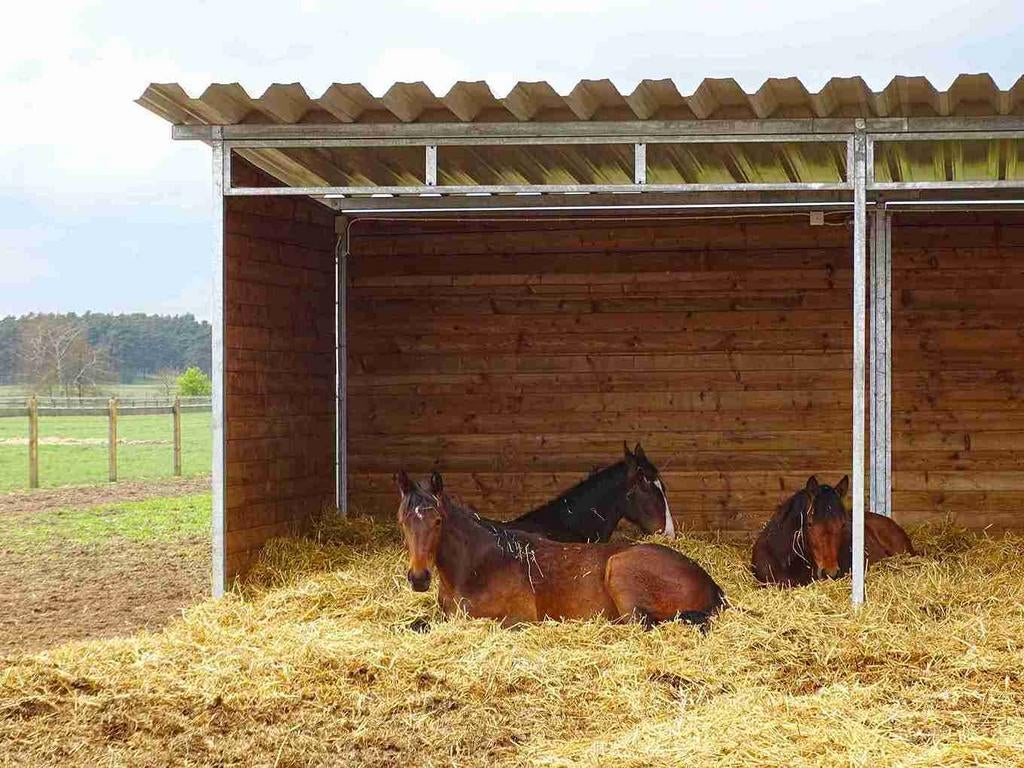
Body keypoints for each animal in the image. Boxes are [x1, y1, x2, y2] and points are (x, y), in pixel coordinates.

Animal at [396, 470, 725, 630]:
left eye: (438, 521)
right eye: (402, 520)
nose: (419, 578)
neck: (478, 566)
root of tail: (711, 584)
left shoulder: (513, 620)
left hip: (619, 569)